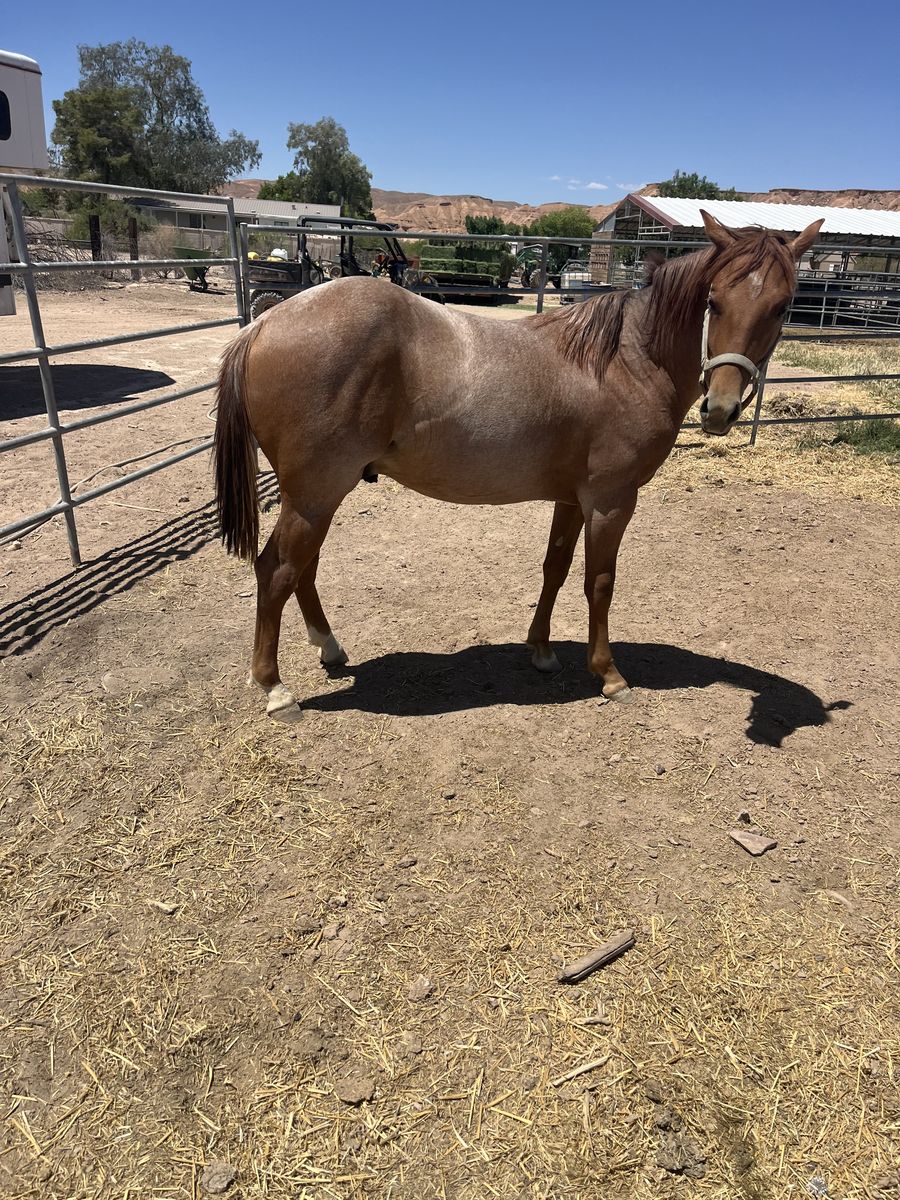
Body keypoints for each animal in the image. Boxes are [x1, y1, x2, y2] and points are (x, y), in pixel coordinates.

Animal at [214, 211, 823, 721]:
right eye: (714, 301)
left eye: (782, 306)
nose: (720, 408)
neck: (627, 359)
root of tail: (263, 325)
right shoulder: (611, 501)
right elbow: (600, 581)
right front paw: (608, 674)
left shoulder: (571, 498)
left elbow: (555, 568)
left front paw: (541, 650)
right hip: (316, 493)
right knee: (276, 571)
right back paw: (275, 689)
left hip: (318, 496)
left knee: (303, 570)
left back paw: (330, 649)